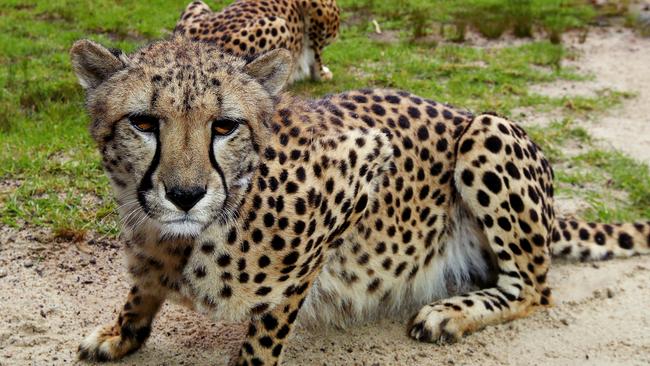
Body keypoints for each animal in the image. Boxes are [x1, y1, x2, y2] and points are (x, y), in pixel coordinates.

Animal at [69, 35, 648, 364]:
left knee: (535, 289)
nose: (185, 196)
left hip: (488, 131)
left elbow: (266, 331)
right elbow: (141, 288)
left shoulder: (359, 169)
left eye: (225, 126)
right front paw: (120, 333)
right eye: (144, 122)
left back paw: (450, 314)